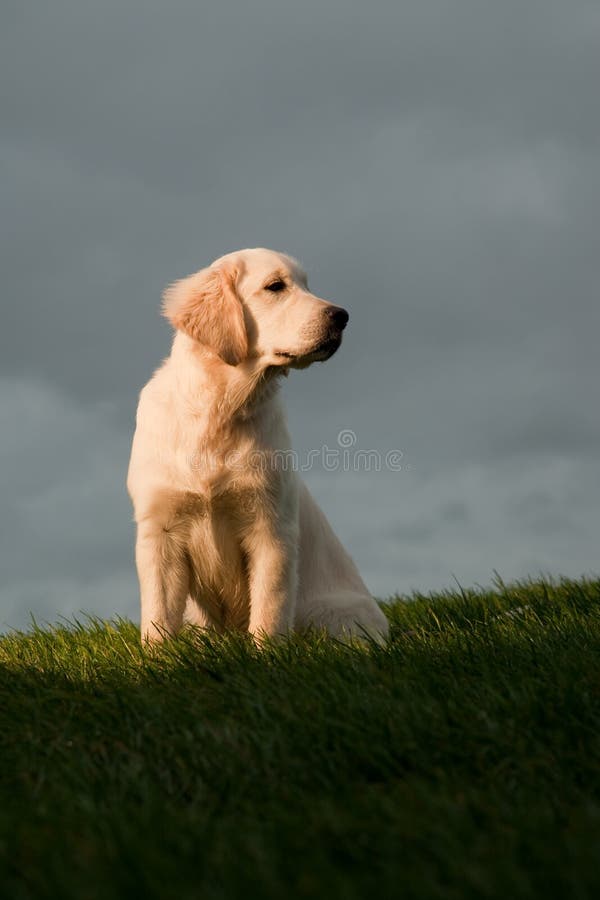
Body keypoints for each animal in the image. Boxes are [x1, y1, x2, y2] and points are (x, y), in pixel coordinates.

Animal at [126, 248, 390, 648]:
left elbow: (269, 606)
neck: (219, 411)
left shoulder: (271, 529)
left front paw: (268, 655)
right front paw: (159, 659)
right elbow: (157, 616)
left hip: (335, 613)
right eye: (275, 286)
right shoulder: (160, 531)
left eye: (307, 285)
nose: (342, 316)